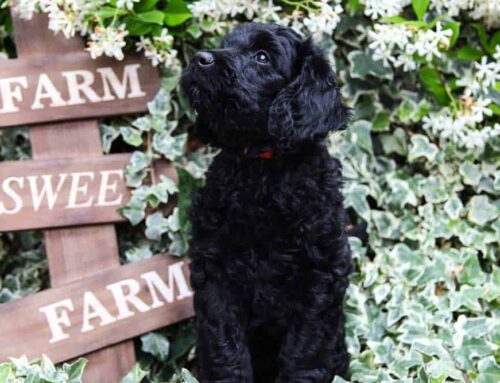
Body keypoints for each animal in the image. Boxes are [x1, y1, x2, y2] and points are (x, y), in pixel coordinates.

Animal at [181, 22, 352, 382]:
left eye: (262, 57)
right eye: (226, 44)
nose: (199, 58)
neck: (261, 167)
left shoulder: (320, 276)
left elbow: (304, 354)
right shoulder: (215, 272)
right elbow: (225, 348)